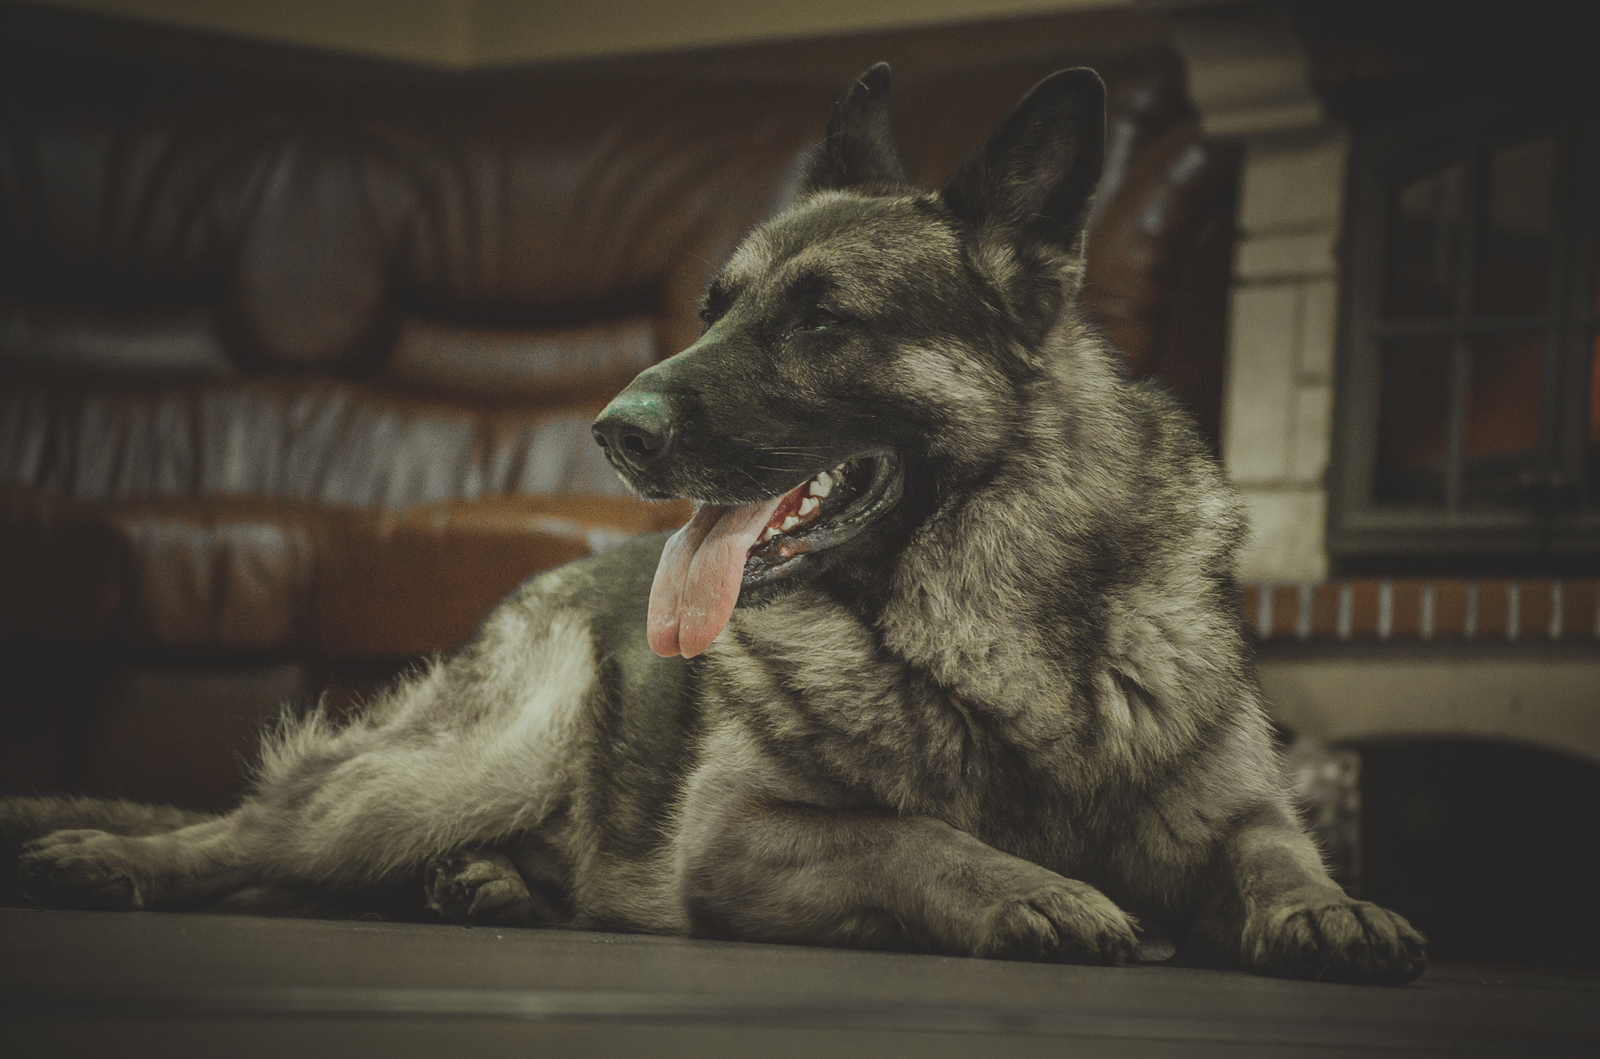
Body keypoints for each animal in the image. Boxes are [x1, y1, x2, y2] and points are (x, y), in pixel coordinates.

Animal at [3, 62, 1427, 985]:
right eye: (710, 310)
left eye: (821, 320)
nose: (613, 429)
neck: (993, 618)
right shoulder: (741, 840)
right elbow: (919, 835)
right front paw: (1032, 887)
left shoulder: (1234, 811)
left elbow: (1278, 854)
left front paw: (1331, 909)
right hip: (457, 768)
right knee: (254, 839)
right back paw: (103, 857)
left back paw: (488, 884)